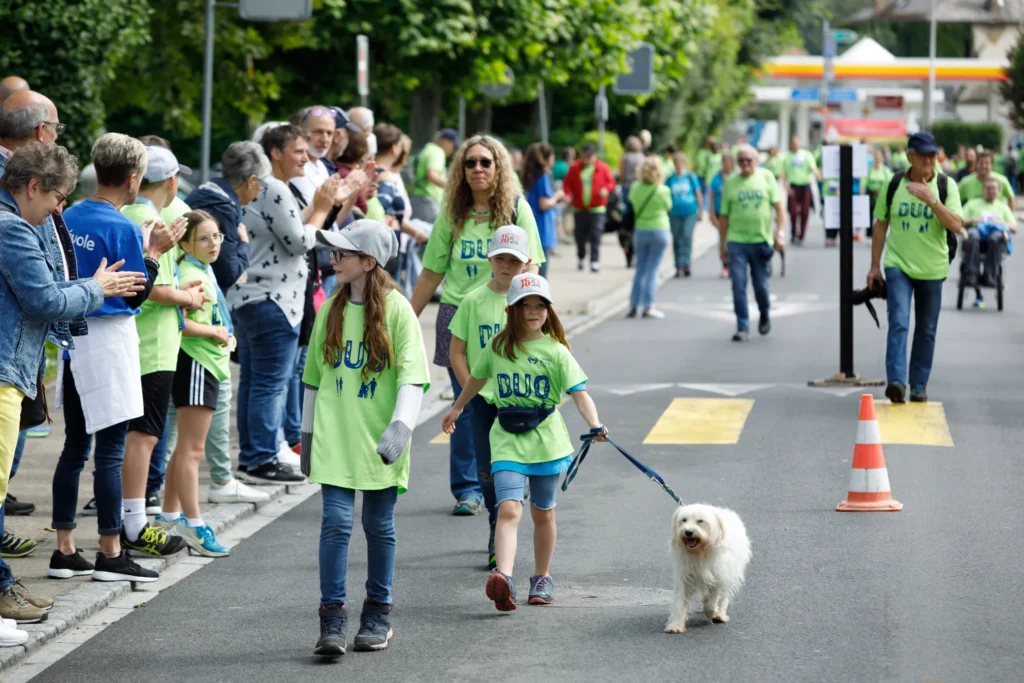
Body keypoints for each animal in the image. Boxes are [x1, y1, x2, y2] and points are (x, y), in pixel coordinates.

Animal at [663, 501, 753, 634]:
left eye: (700, 521)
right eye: (684, 520)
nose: (688, 532)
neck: (700, 552)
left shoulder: (719, 577)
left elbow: (713, 599)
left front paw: (711, 612)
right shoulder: (685, 577)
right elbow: (680, 601)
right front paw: (676, 625)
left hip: (730, 575)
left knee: (723, 597)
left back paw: (719, 614)